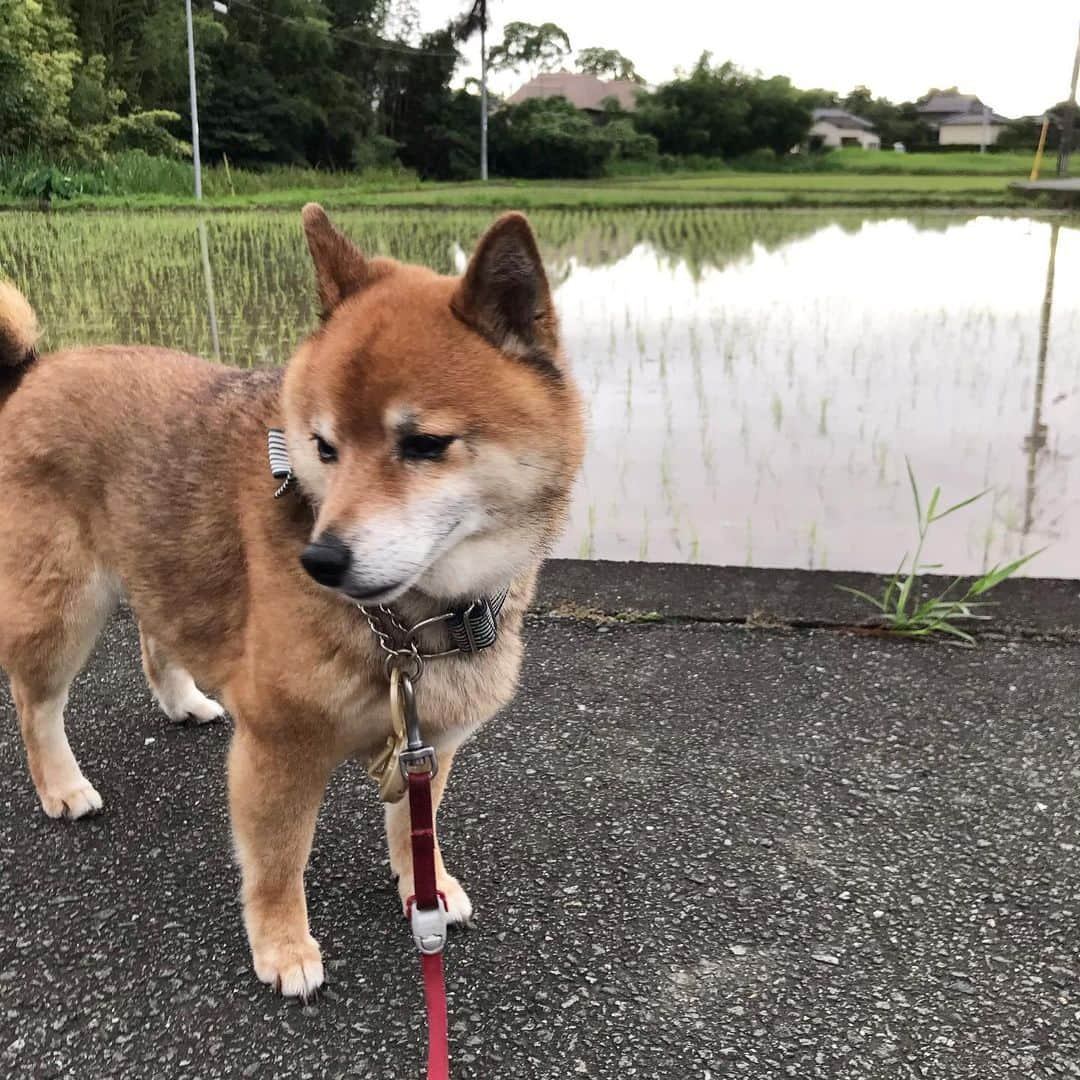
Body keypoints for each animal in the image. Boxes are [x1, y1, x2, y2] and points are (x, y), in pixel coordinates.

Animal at [0, 206, 587, 997]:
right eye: (323, 446)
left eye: (425, 444)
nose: (320, 559)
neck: (410, 623)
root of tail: (37, 368)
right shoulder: (279, 747)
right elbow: (278, 862)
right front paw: (283, 946)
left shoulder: (428, 740)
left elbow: (415, 829)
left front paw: (425, 890)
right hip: (61, 608)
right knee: (36, 705)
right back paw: (61, 785)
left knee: (158, 634)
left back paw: (181, 700)